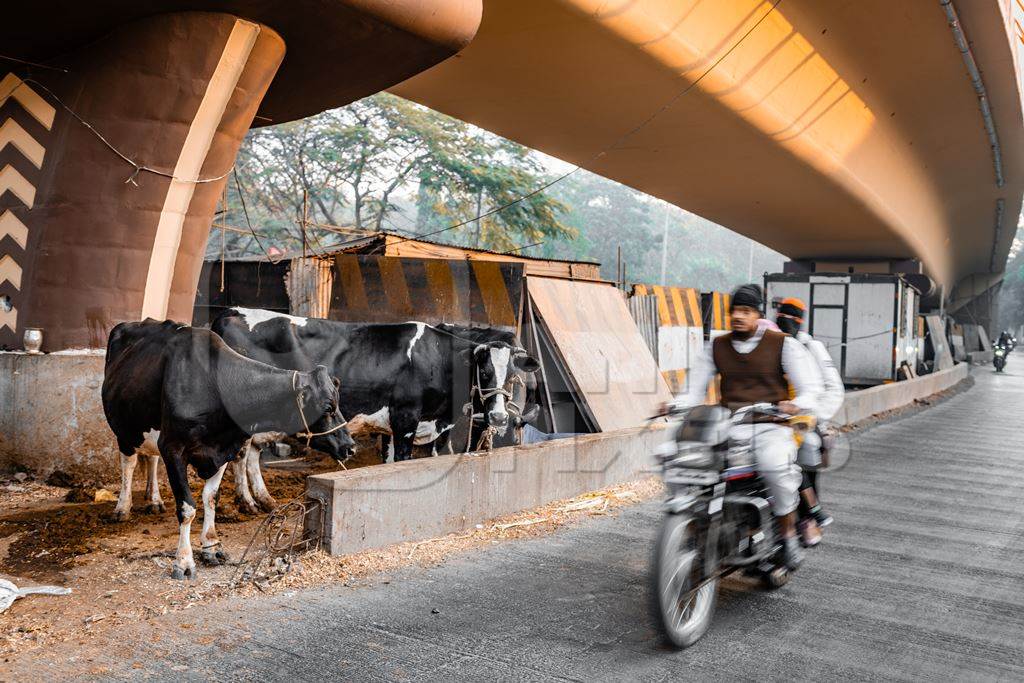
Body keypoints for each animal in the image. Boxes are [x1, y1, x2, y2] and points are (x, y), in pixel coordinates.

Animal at [102, 319, 354, 577]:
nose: (350, 446)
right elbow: (187, 508)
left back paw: (154, 500)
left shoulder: (222, 450)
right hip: (125, 429)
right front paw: (183, 561)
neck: (217, 388)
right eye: (328, 408)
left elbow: (210, 498)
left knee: (151, 458)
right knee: (129, 462)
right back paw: (123, 507)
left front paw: (211, 547)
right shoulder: (173, 448)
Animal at [210, 309, 540, 464]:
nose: (499, 417)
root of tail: (230, 312)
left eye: (513, 374)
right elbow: (403, 461)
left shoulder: (403, 427)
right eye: (483, 370)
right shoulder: (405, 419)